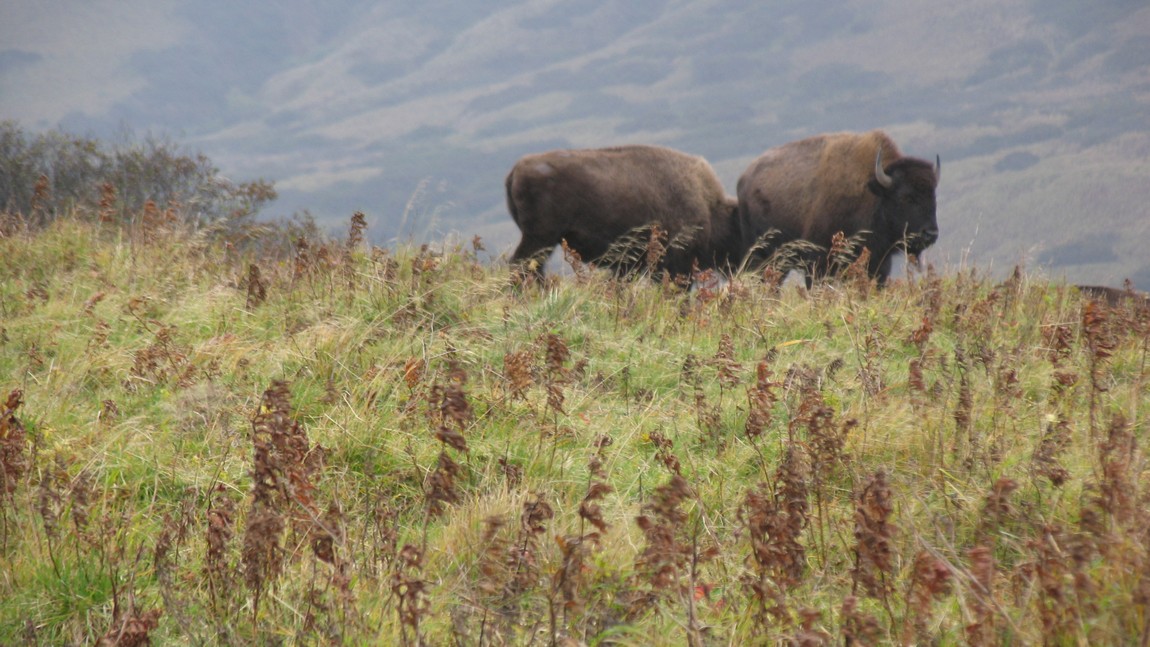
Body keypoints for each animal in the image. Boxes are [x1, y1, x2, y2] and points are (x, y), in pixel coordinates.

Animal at [737, 130, 940, 286]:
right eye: (905, 197)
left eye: (933, 196)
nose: (930, 234)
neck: (874, 193)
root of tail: (744, 179)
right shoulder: (819, 263)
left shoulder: (879, 265)